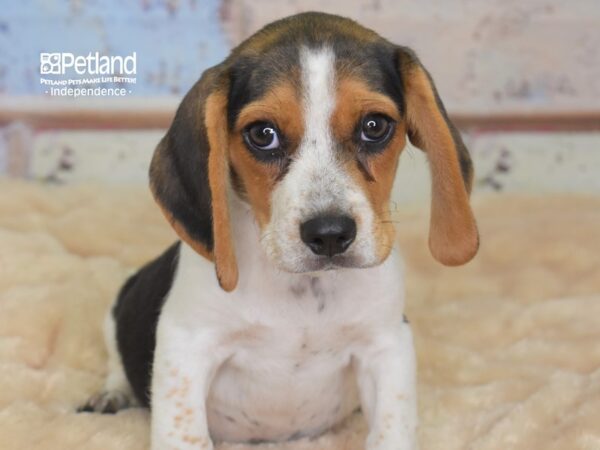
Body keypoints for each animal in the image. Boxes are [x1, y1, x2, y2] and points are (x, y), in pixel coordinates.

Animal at [78, 12, 478, 450]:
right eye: (262, 134)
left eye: (375, 126)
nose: (330, 233)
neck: (303, 290)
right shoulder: (186, 346)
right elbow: (185, 433)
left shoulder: (387, 345)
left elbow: (392, 429)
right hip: (118, 307)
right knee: (116, 360)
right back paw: (112, 395)